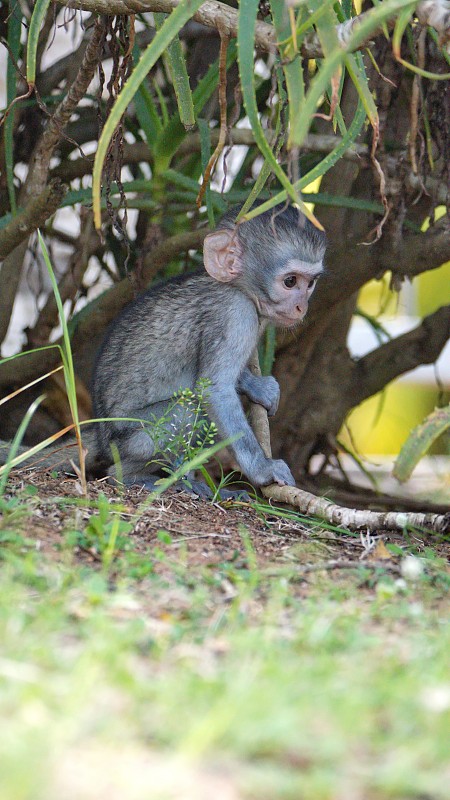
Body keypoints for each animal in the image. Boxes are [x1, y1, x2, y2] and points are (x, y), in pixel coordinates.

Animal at [93, 205, 326, 494]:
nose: (301, 307)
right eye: (290, 281)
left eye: (310, 283)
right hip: (127, 439)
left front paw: (257, 386)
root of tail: (102, 438)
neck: (237, 287)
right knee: (188, 410)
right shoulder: (235, 313)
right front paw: (263, 469)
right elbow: (214, 390)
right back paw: (133, 477)